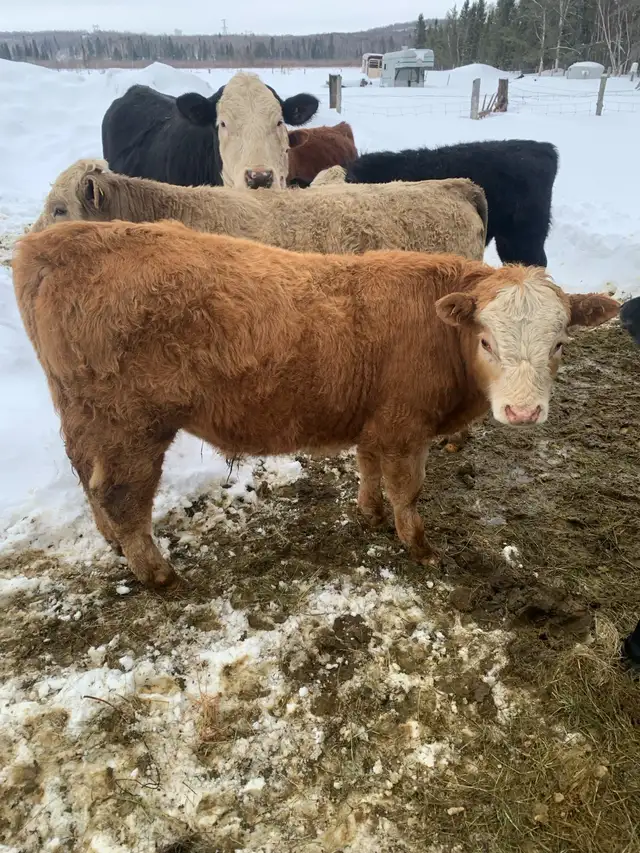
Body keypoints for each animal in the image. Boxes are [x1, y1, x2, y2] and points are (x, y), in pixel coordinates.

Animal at [13, 219, 619, 587]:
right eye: (488, 341)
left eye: (560, 343)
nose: (523, 412)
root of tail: (53, 241)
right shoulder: (405, 427)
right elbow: (408, 490)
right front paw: (419, 546)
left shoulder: (377, 423)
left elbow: (368, 468)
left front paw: (369, 514)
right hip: (129, 427)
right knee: (120, 496)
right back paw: (158, 573)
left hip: (88, 421)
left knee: (89, 480)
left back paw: (115, 547)